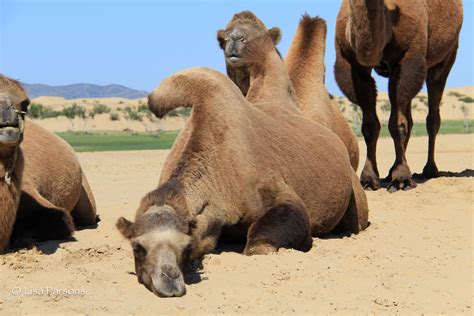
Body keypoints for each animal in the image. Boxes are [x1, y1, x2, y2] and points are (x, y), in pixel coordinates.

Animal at [336, 0, 464, 191]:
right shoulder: (352, 65)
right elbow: (370, 126)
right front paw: (368, 179)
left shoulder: (409, 59)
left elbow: (397, 125)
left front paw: (402, 179)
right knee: (409, 118)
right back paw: (390, 172)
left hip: (445, 58)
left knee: (432, 116)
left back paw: (429, 170)